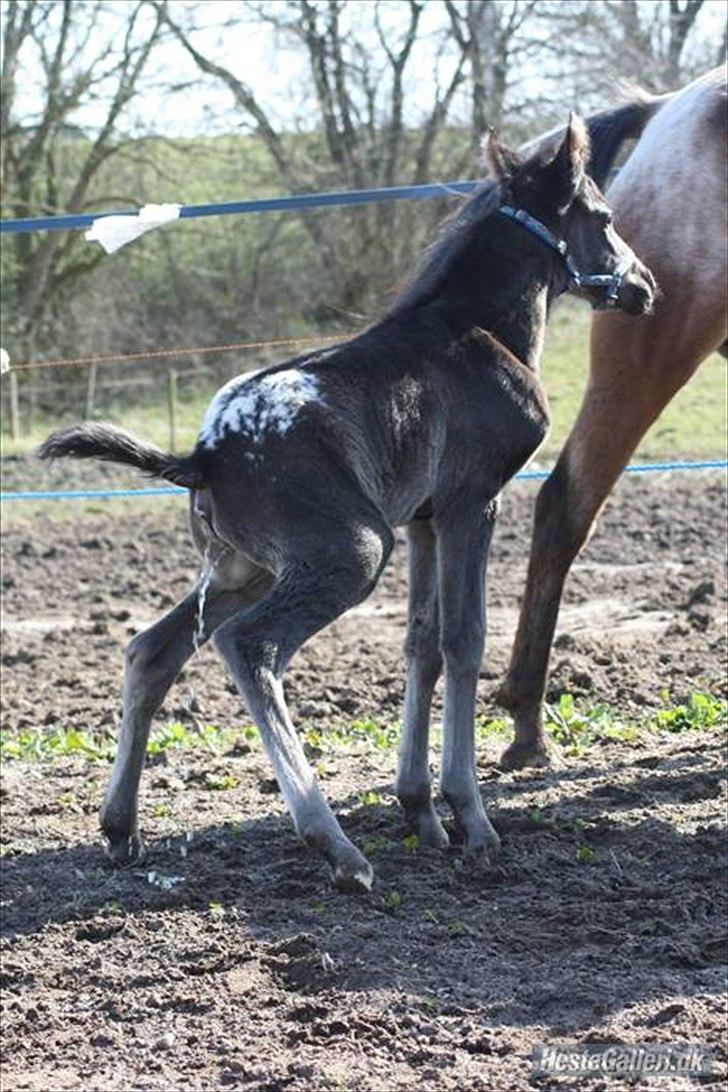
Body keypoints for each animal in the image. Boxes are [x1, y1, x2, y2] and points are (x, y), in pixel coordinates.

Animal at [39, 115, 654, 891]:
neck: (480, 327)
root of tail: (204, 454)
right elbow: (464, 639)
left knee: (153, 649)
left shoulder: (422, 521)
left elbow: (421, 642)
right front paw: (472, 820)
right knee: (248, 647)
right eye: (603, 218)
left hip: (247, 567)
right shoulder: (470, 502)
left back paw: (121, 828)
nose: (645, 287)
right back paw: (334, 846)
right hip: (353, 550)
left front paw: (421, 813)